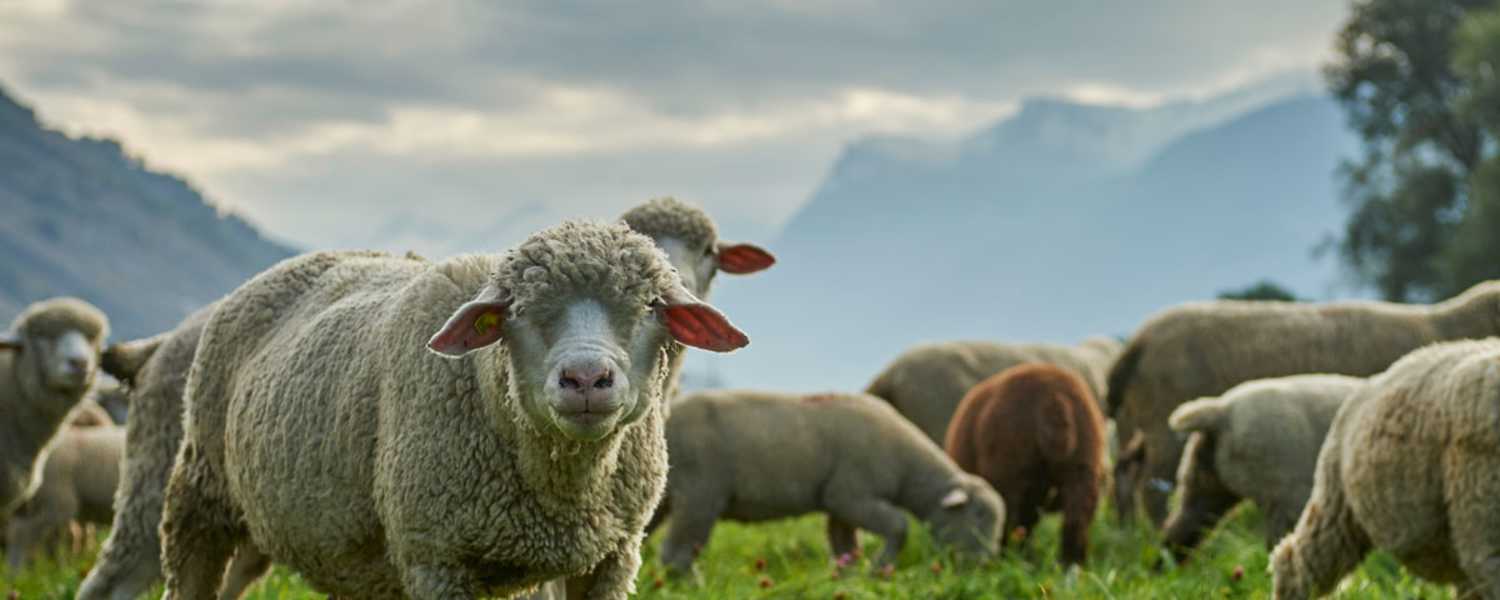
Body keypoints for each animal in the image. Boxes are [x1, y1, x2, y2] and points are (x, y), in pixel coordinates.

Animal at [158, 221, 750, 600]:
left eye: (652, 306)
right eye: (518, 310)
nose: (586, 379)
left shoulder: (611, 559)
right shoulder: (437, 559)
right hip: (201, 495)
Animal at [652, 389, 1004, 576]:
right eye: (978, 517)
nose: (983, 565)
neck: (908, 467)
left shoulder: (840, 504)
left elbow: (844, 546)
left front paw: (849, 578)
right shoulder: (851, 494)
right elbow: (899, 526)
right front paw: (879, 569)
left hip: (662, 495)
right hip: (700, 493)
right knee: (675, 554)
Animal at [944, 364, 1105, 566]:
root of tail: (1053, 397)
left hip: (1007, 467)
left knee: (1009, 522)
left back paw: (1009, 560)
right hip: (1083, 467)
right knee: (1076, 523)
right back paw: (1070, 566)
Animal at [1107, 280, 1500, 526]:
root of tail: (1138, 342)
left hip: (1131, 425)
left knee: (1124, 479)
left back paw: (1127, 534)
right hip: (1160, 424)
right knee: (1152, 489)